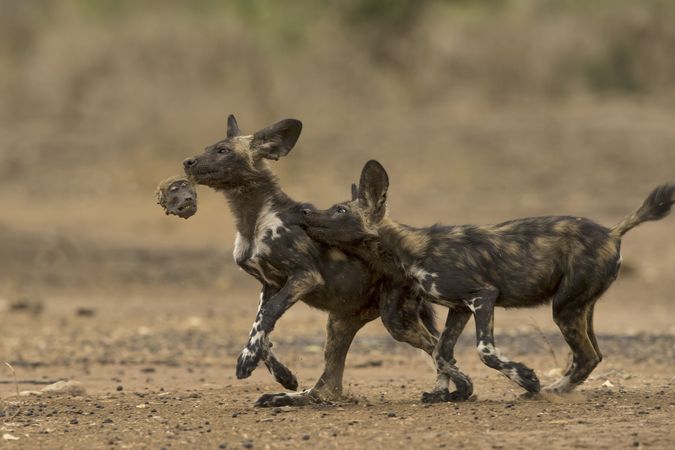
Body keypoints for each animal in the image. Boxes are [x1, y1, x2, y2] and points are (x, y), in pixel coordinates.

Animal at [182, 118, 440, 406]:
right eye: (208, 148)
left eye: (223, 150)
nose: (187, 162)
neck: (254, 221)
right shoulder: (270, 285)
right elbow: (260, 328)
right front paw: (282, 374)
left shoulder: (304, 277)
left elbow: (268, 316)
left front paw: (246, 361)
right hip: (340, 322)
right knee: (328, 387)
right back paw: (285, 397)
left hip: (395, 321)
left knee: (435, 346)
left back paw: (449, 391)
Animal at [304, 160, 672, 400]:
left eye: (339, 210)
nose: (305, 211)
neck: (407, 250)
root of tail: (613, 232)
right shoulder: (459, 308)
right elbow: (441, 352)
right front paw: (449, 391)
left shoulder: (483, 296)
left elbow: (484, 351)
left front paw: (526, 378)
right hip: (580, 307)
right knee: (593, 355)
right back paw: (556, 389)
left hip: (564, 309)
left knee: (584, 356)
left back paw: (548, 391)